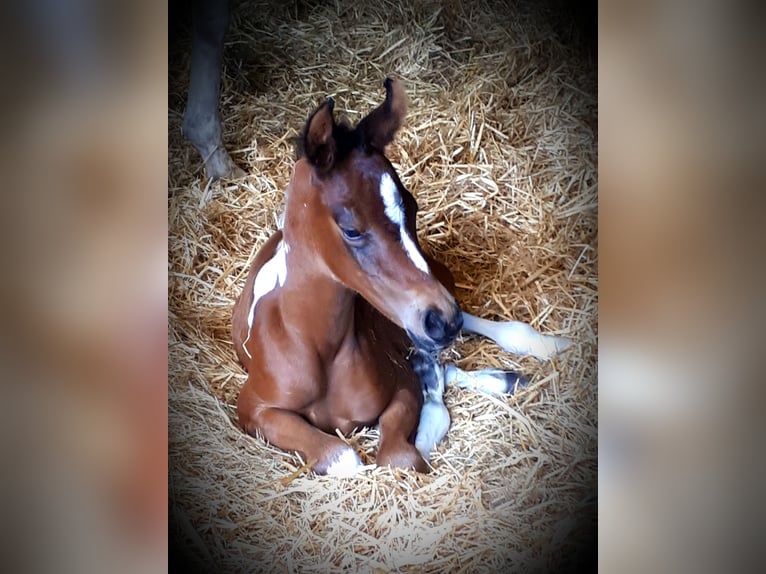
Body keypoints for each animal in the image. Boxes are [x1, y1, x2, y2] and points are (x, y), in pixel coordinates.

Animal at [231, 80, 568, 476]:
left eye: (414, 207)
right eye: (351, 229)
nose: (442, 318)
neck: (317, 348)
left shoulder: (402, 384)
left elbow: (401, 457)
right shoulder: (253, 408)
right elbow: (346, 457)